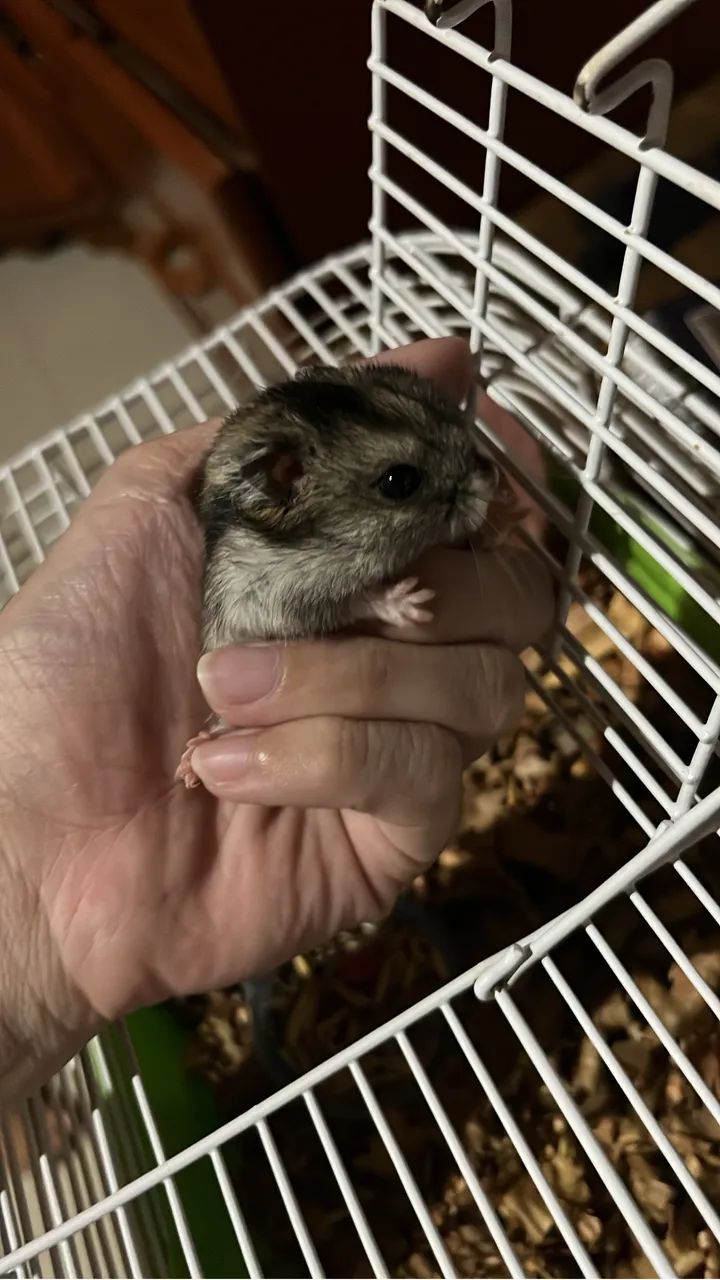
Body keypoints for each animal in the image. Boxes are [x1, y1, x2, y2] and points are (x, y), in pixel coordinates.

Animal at [176, 360, 499, 786]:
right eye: (400, 481)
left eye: (443, 410)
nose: (495, 477)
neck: (330, 541)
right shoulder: (278, 599)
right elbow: (350, 601)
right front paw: (412, 602)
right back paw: (192, 759)